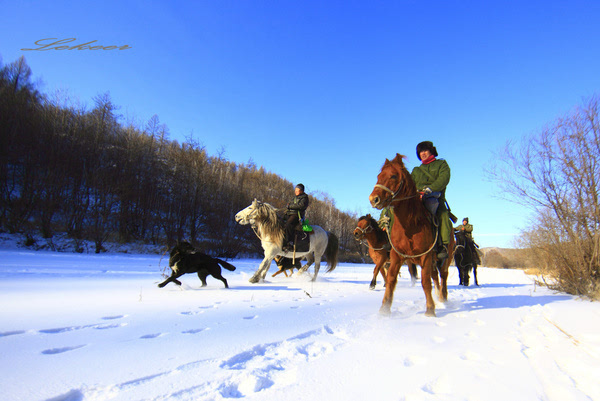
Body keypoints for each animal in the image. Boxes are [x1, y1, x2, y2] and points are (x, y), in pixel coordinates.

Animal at [366, 153, 454, 316]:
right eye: (379, 176)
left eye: (393, 176)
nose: (373, 199)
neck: (411, 225)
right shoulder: (396, 256)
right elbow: (391, 279)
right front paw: (384, 310)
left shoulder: (426, 256)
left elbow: (425, 283)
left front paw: (430, 310)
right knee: (436, 277)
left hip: (445, 257)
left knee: (443, 276)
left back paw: (443, 299)